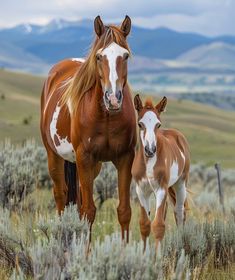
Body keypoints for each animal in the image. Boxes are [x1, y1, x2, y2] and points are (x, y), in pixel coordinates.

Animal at [40, 16, 136, 242]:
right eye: (99, 57)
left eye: (125, 55)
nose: (113, 98)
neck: (106, 116)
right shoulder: (85, 157)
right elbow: (88, 212)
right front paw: (84, 250)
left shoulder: (125, 158)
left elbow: (124, 211)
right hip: (55, 157)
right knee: (61, 196)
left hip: (90, 167)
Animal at [131, 95, 190, 253]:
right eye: (140, 124)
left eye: (158, 125)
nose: (150, 150)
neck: (149, 164)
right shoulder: (141, 191)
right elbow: (145, 224)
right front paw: (144, 255)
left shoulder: (161, 189)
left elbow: (158, 225)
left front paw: (157, 257)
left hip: (180, 184)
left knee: (179, 212)